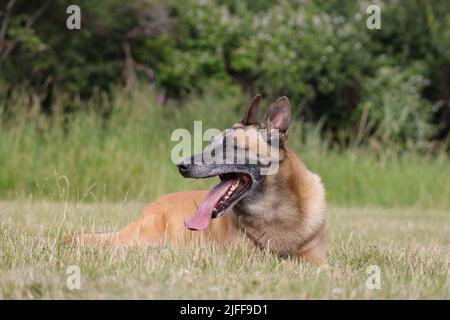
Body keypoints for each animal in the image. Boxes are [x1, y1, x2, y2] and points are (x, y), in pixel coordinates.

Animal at [67, 95, 326, 268]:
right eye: (211, 142)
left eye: (228, 146)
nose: (181, 165)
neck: (275, 211)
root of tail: (147, 210)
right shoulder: (247, 258)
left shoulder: (317, 258)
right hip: (140, 240)